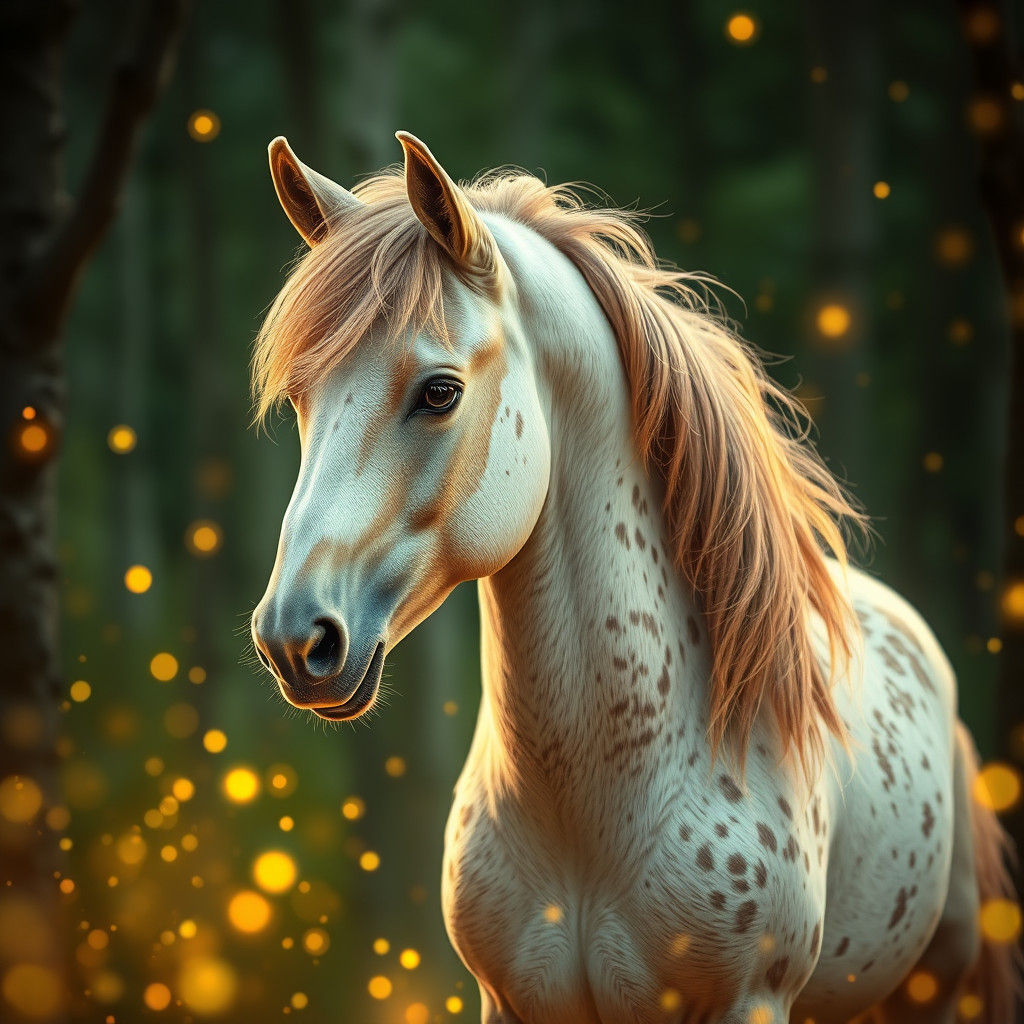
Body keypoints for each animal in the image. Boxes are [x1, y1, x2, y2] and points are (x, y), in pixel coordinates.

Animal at [249, 131, 1018, 1024]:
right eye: (301, 398)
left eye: (439, 392)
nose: (295, 638)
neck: (592, 806)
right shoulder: (508, 1003)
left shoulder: (750, 1001)